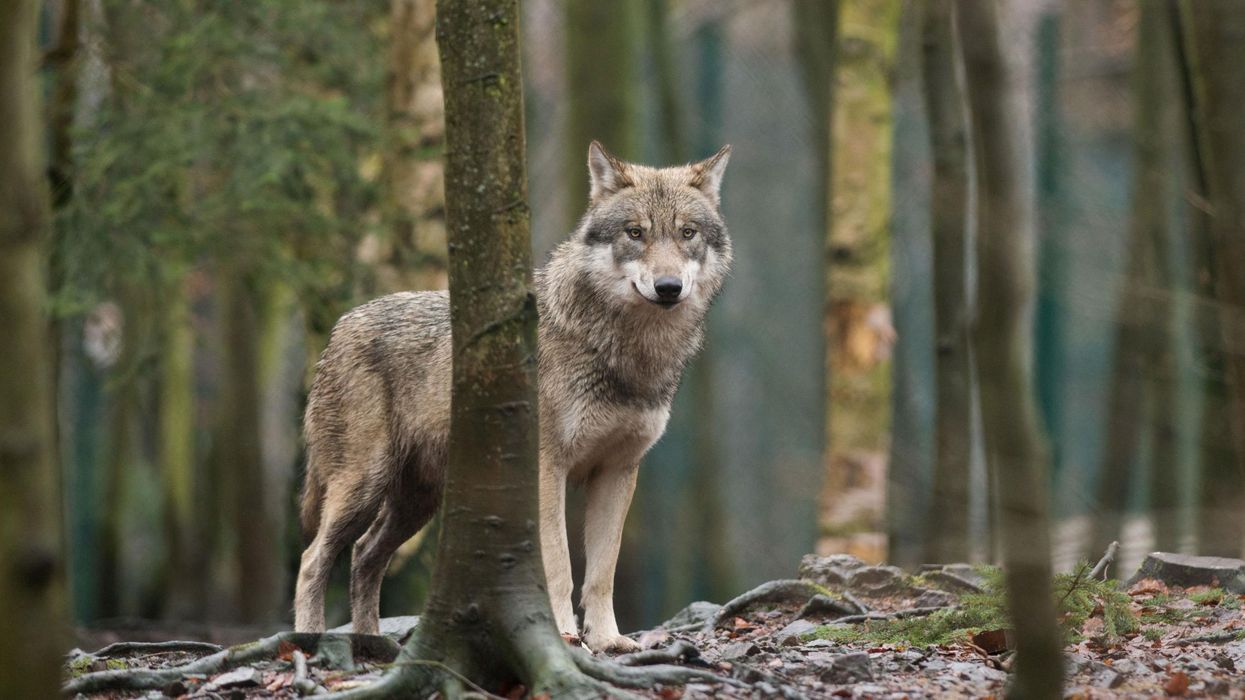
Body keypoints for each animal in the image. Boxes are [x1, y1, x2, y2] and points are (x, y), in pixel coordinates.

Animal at [293, 142, 732, 653]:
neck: (626, 353)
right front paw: (563, 635)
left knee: (364, 556)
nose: (668, 287)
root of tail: (339, 327)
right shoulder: (547, 468)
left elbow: (602, 571)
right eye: (635, 233)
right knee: (312, 560)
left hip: (416, 502)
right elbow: (559, 566)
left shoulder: (618, 471)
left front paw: (608, 640)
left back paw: (371, 644)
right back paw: (309, 641)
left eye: (687, 233)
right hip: (364, 486)